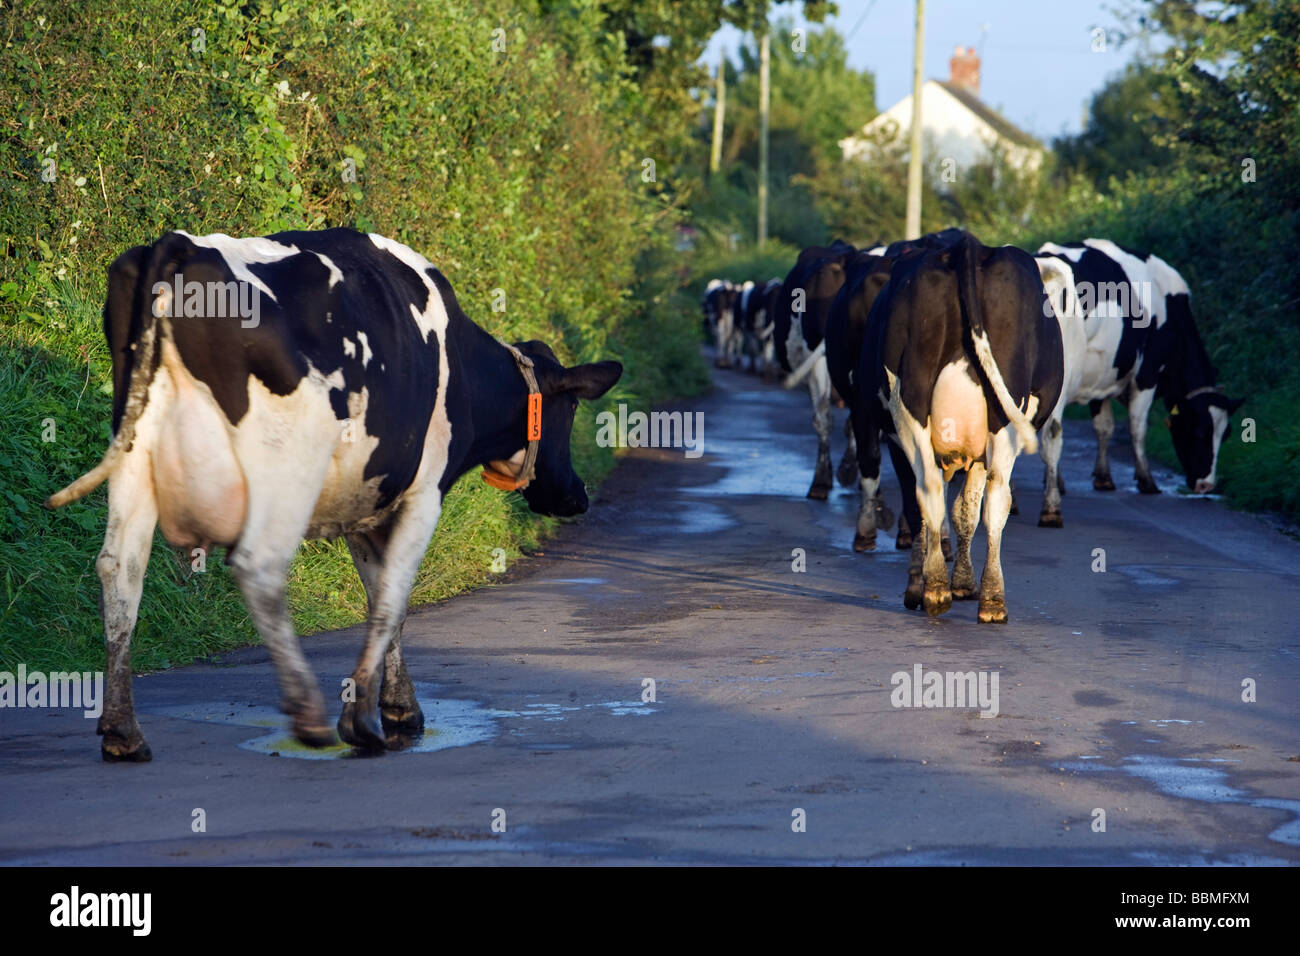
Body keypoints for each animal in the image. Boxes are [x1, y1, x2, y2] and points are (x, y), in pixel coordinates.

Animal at [45, 227, 624, 759]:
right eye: (571, 407)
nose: (576, 495)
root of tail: (181, 243)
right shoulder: (424, 491)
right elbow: (392, 598)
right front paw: (365, 719)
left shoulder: (366, 499)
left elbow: (382, 596)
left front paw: (398, 706)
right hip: (285, 469)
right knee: (258, 566)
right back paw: (309, 717)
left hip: (135, 455)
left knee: (119, 569)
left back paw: (122, 730)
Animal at [852, 231, 1066, 621]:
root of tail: (967, 246)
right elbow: (962, 510)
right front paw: (960, 583)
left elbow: (945, 512)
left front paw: (932, 583)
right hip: (1000, 414)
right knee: (993, 498)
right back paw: (988, 598)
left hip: (914, 402)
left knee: (932, 489)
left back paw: (939, 588)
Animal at [1034, 239, 1237, 522]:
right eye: (1200, 431)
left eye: (1226, 433)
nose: (1205, 485)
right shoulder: (1147, 374)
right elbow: (1138, 427)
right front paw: (1146, 480)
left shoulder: (1103, 375)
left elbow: (1104, 427)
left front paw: (1102, 477)